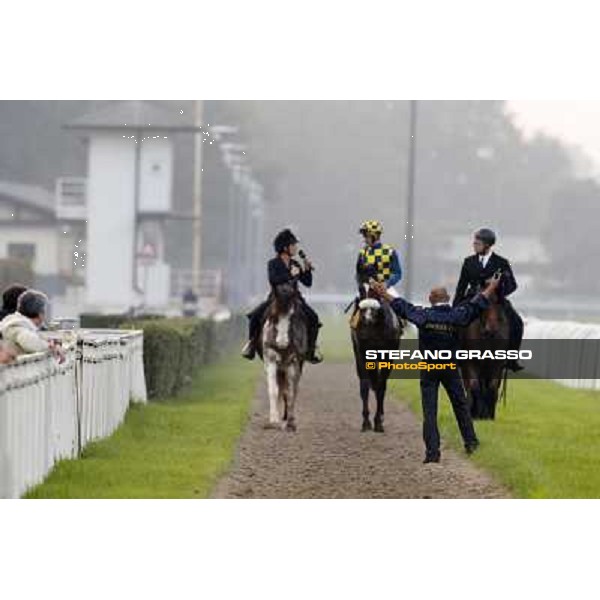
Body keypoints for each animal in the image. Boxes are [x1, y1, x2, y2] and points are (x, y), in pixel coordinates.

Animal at [260, 282, 310, 432]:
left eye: (293, 316)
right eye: (273, 315)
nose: (282, 342)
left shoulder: (293, 362)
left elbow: (291, 392)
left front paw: (291, 423)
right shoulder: (270, 360)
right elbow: (274, 390)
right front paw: (273, 421)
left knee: (292, 389)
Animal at [350, 278, 400, 434]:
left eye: (375, 291)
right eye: (361, 290)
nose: (367, 318)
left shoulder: (387, 356)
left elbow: (381, 386)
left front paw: (378, 421)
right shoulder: (362, 354)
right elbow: (365, 386)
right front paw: (366, 422)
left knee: (380, 385)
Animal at [462, 284, 508, 420]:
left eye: (499, 303)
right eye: (484, 304)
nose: (491, 330)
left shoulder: (497, 364)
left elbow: (492, 387)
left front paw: (489, 415)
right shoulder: (471, 362)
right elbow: (474, 385)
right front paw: (474, 413)